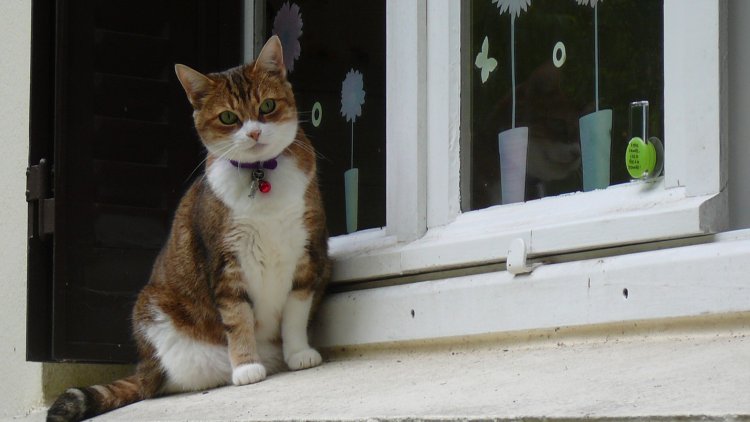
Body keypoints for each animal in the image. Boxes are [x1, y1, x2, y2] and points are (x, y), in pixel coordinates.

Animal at [47, 34, 328, 420]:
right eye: (228, 117)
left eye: (268, 106)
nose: (254, 132)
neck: (260, 175)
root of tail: (145, 369)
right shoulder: (225, 260)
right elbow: (237, 317)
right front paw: (246, 367)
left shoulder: (306, 248)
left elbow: (297, 309)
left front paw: (300, 352)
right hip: (159, 321)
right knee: (164, 385)